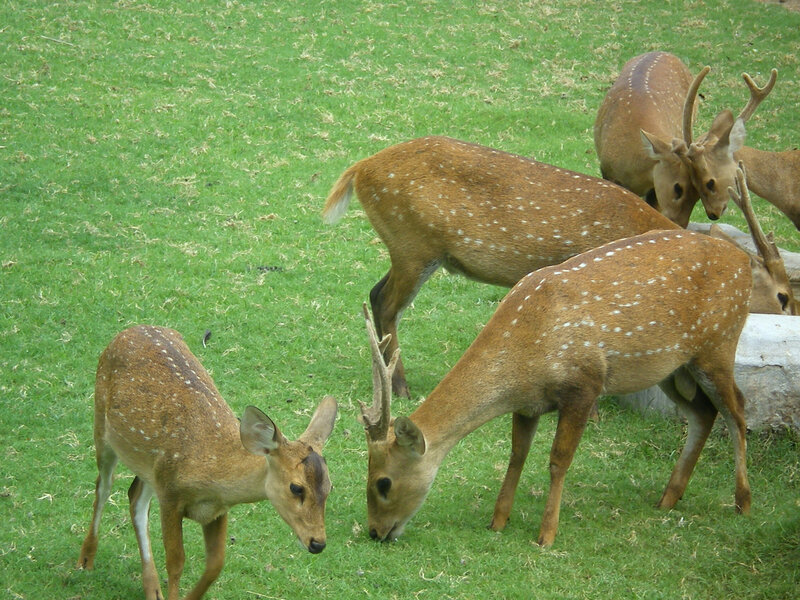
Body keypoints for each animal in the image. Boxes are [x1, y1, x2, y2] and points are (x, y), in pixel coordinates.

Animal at [77, 325, 337, 600]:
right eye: (296, 487)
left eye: (329, 487)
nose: (317, 543)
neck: (212, 472)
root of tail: (129, 330)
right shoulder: (170, 495)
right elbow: (176, 562)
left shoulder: (215, 510)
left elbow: (215, 564)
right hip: (102, 426)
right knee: (103, 486)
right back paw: (85, 560)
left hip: (150, 465)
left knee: (135, 497)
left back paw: (152, 588)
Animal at [323, 135, 794, 398]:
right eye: (784, 295)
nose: (793, 313)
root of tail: (358, 170)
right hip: (414, 243)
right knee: (386, 302)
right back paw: (399, 387)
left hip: (410, 247)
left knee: (374, 294)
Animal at [359, 228, 753, 548]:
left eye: (383, 483)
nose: (376, 531)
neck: (524, 361)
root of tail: (745, 262)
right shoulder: (529, 403)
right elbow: (517, 454)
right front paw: (497, 521)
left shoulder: (584, 385)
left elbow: (558, 461)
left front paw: (546, 535)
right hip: (671, 367)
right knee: (704, 412)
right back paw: (669, 498)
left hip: (719, 344)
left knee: (738, 409)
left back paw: (742, 502)